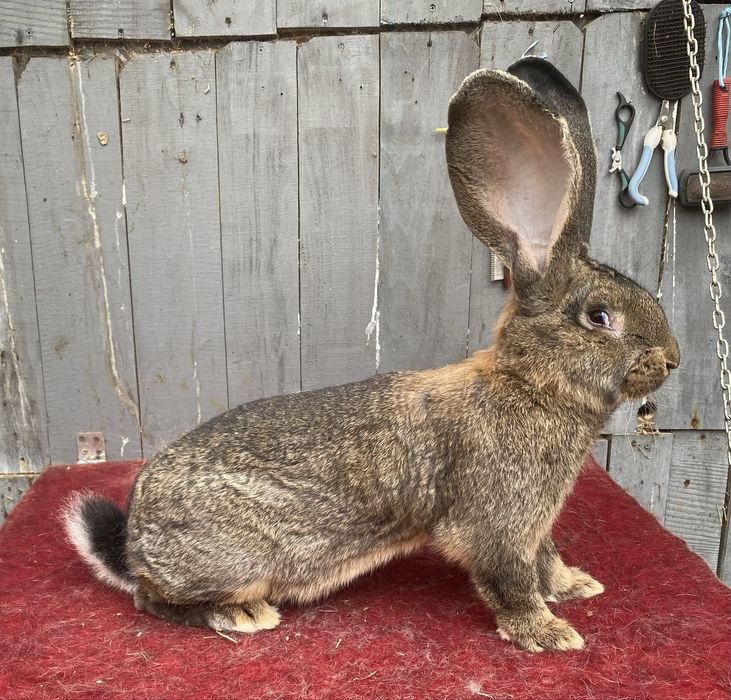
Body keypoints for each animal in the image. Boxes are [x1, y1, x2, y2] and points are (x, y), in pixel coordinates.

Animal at [64, 58, 680, 652]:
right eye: (599, 317)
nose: (673, 358)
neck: (530, 383)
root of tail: (135, 542)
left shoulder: (535, 525)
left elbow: (545, 560)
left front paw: (576, 586)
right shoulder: (497, 524)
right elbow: (510, 580)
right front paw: (549, 633)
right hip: (231, 560)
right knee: (149, 600)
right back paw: (239, 614)